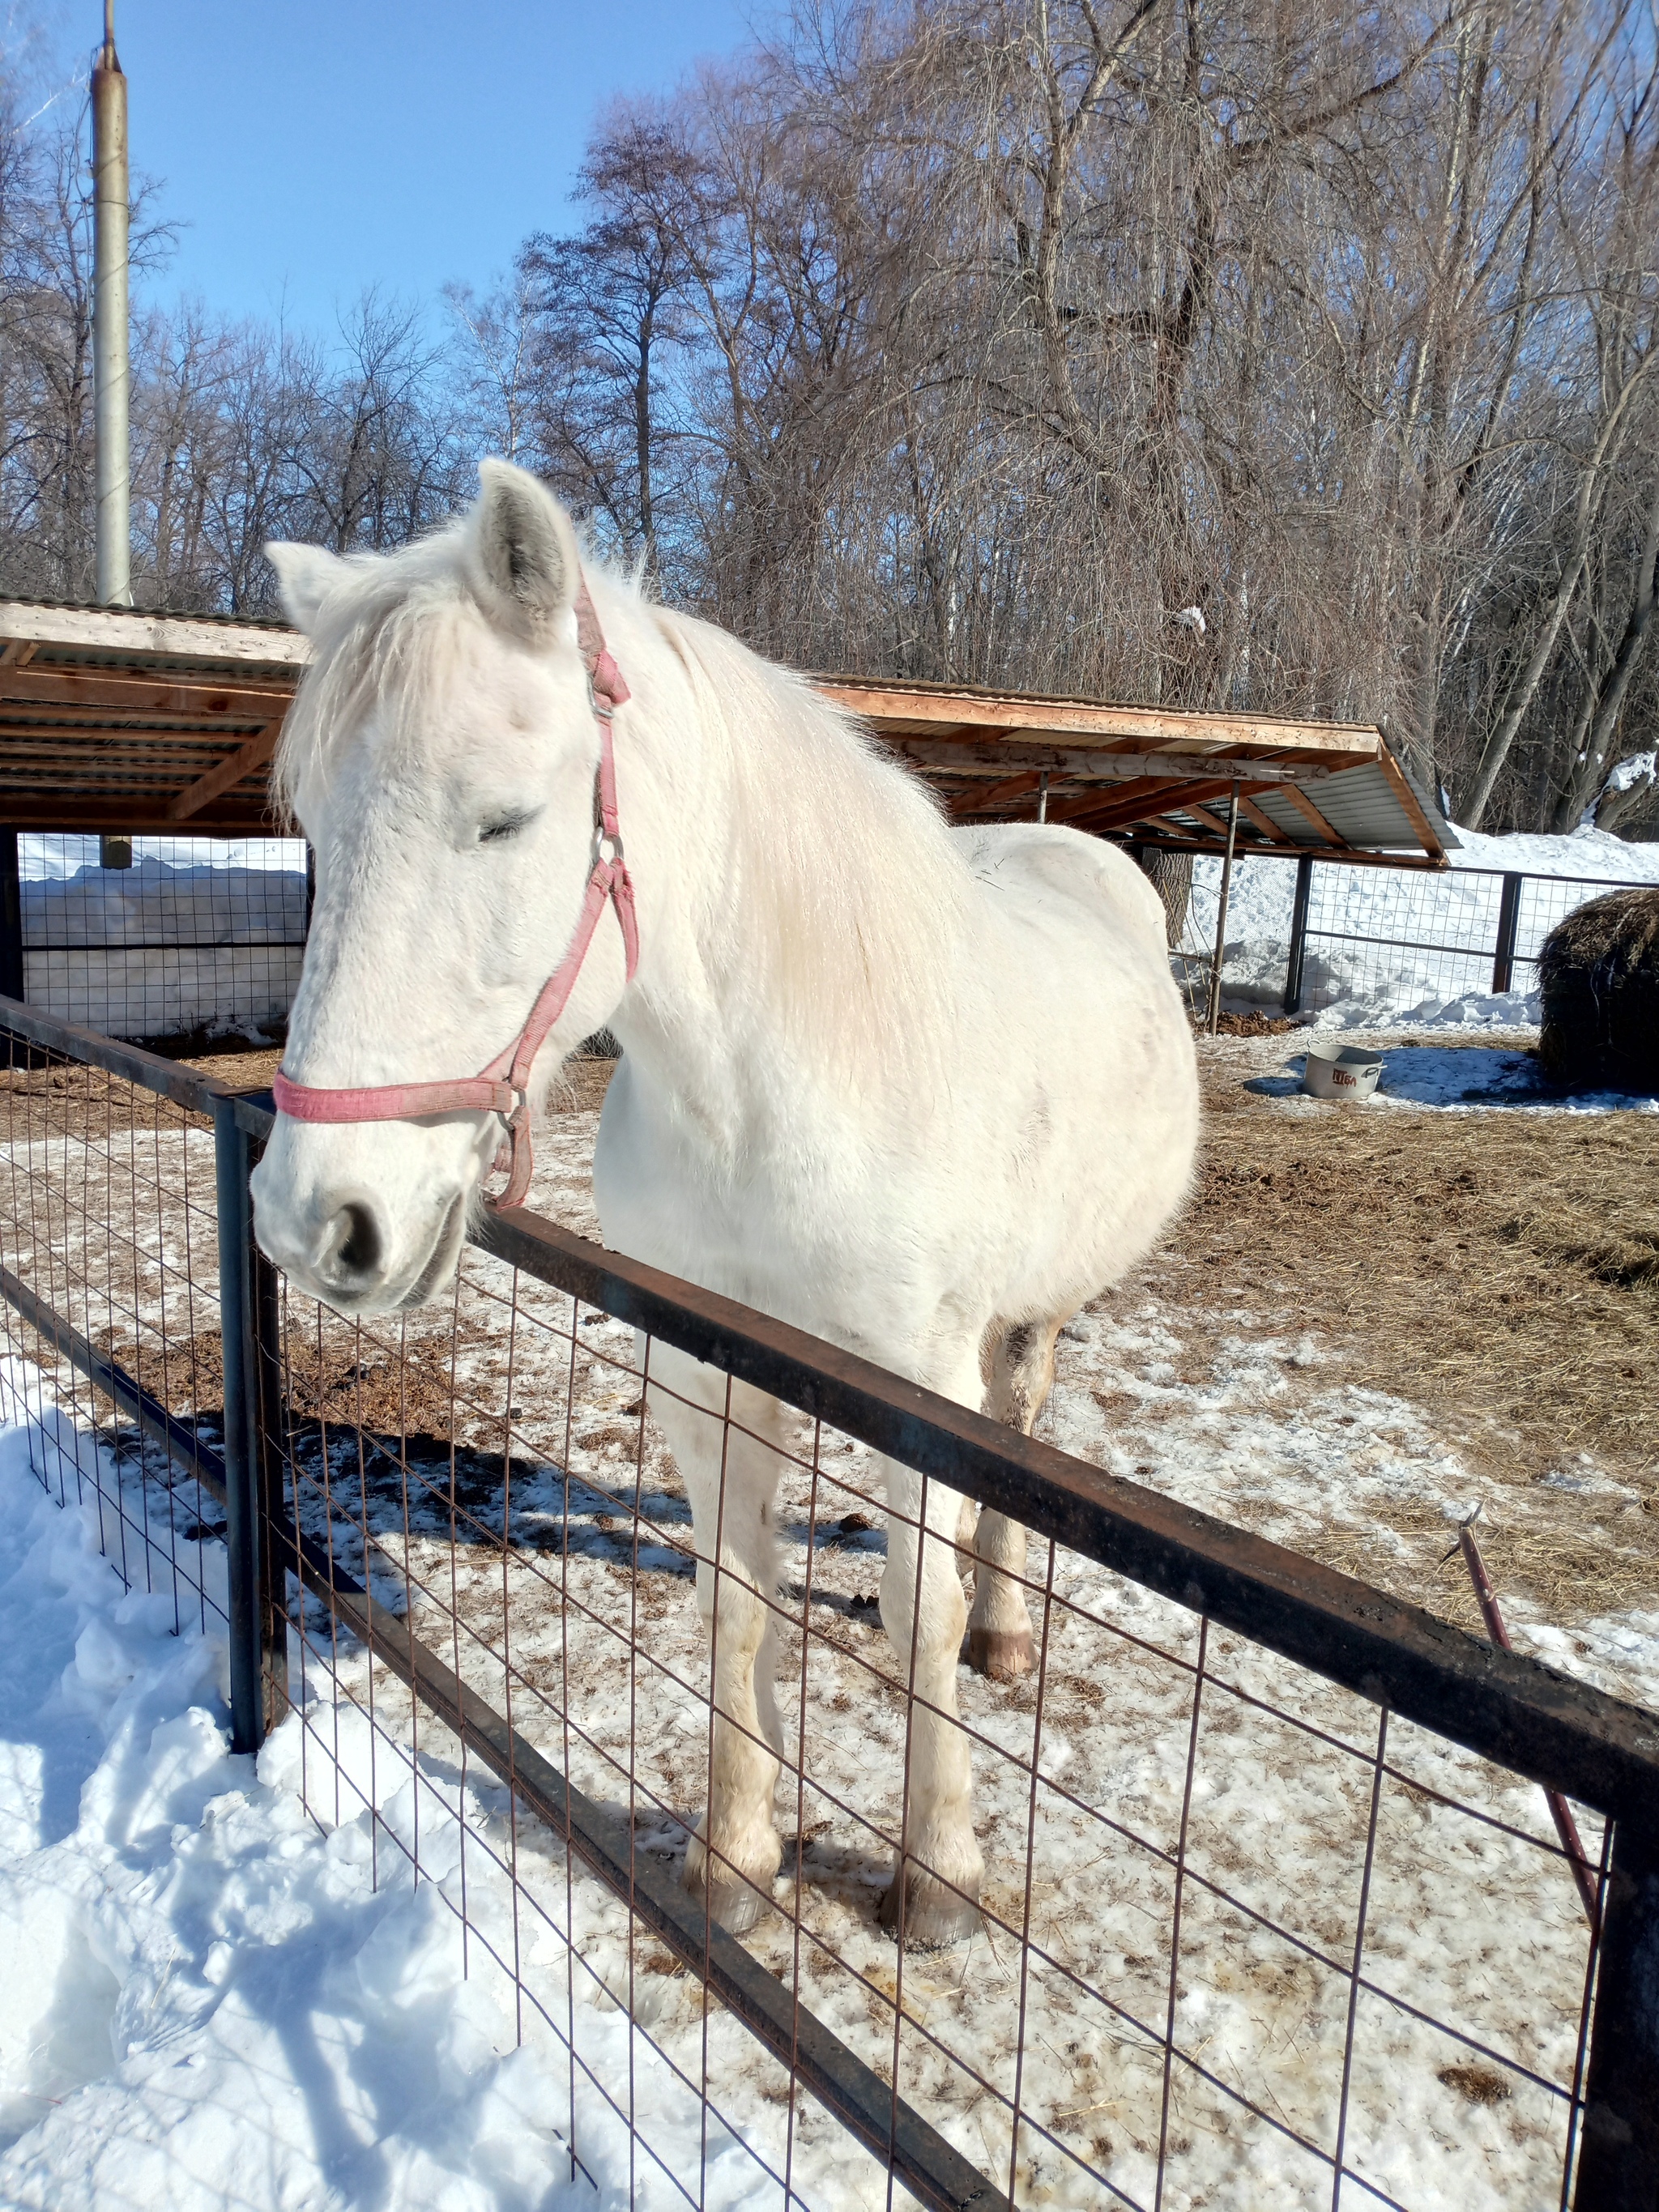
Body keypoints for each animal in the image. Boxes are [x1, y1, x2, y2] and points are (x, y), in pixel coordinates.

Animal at [253, 462, 1203, 1955]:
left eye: (502, 819)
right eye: (312, 826)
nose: (315, 1220)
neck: (769, 1091)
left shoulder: (918, 1382)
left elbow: (917, 1620)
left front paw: (935, 1876)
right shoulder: (702, 1372)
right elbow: (735, 1606)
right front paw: (737, 1857)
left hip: (1026, 1321)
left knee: (1015, 1433)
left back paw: (1003, 1628)